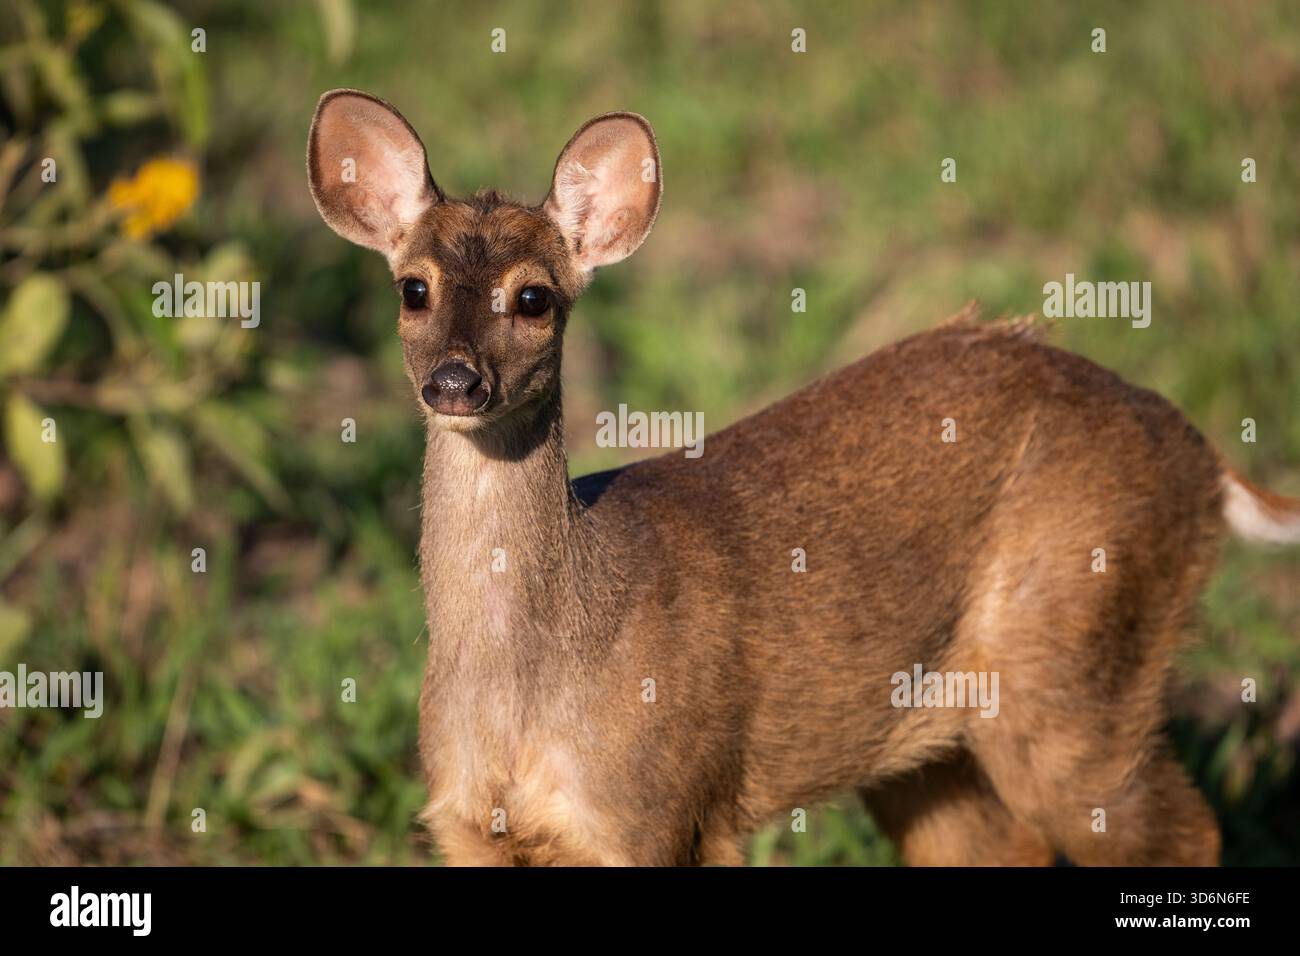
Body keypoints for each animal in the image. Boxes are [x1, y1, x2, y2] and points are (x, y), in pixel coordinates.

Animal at [306, 89, 1300, 867]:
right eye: (413, 288)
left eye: (533, 297)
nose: (455, 381)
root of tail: (1204, 455)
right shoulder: (469, 824)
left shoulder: (654, 811)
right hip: (931, 740)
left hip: (1079, 653)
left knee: (1178, 830)